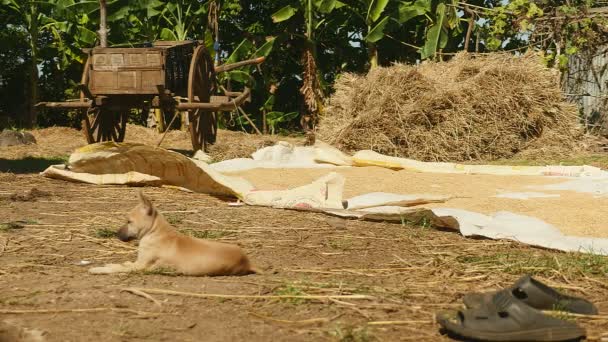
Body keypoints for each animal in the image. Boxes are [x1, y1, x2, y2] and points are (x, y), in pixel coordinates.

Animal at [89, 191, 255, 276]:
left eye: (129, 221)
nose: (115, 234)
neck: (155, 231)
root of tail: (247, 262)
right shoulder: (138, 263)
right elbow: (126, 264)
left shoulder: (141, 265)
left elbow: (119, 267)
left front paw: (100, 269)